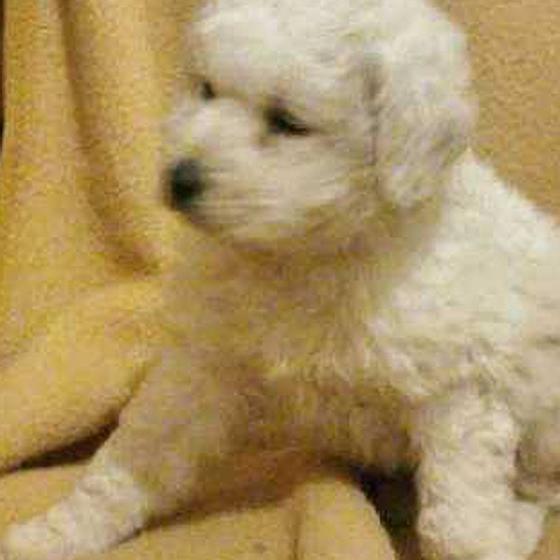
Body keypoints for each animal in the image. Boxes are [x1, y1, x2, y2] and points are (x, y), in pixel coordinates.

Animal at [2, 0, 560, 559]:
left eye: (288, 122)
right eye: (207, 89)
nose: (180, 179)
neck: (305, 254)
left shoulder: (460, 392)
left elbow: (459, 523)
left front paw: (489, 543)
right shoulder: (204, 364)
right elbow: (130, 461)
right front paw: (53, 534)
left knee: (538, 489)